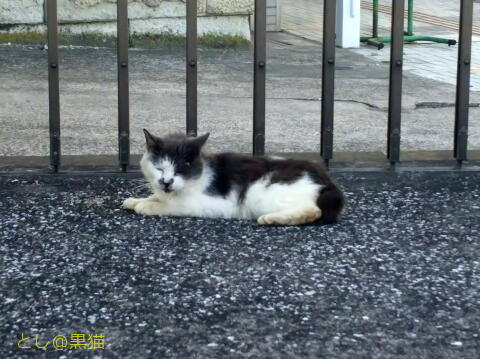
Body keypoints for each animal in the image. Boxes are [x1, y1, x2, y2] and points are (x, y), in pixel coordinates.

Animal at [122, 131, 344, 226]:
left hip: (262, 193)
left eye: (180, 170)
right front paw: (136, 200)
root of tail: (327, 181)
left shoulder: (211, 204)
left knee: (313, 211)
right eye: (159, 168)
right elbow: (156, 197)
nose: (167, 182)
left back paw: (272, 219)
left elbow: (171, 205)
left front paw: (146, 205)